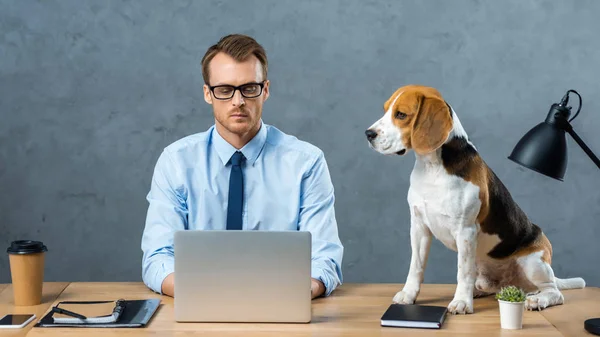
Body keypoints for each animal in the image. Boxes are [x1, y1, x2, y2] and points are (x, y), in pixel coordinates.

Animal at [366, 83, 584, 312]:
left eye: (401, 114)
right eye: (385, 110)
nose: (368, 134)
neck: (432, 167)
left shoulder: (465, 231)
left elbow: (462, 271)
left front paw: (461, 301)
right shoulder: (418, 227)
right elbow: (415, 267)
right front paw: (408, 295)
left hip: (534, 263)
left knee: (554, 292)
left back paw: (537, 299)